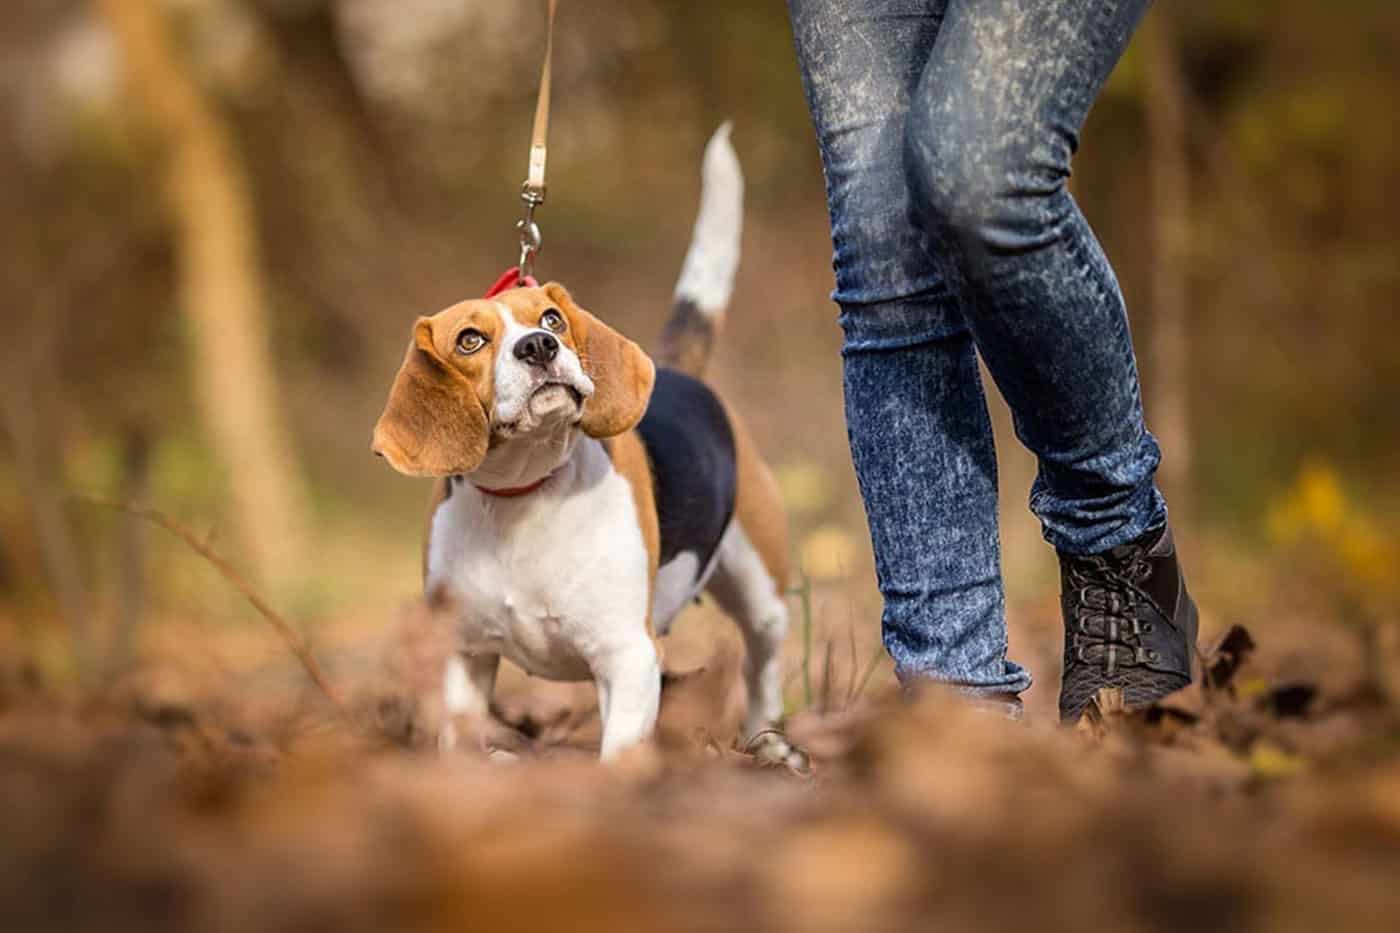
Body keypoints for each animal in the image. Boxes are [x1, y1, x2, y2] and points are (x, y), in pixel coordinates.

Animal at [366, 127, 795, 762]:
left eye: (551, 318)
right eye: (470, 340)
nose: (540, 346)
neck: (524, 496)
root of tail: (677, 370)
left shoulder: (629, 655)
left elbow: (618, 756)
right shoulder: (466, 654)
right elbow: (462, 737)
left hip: (761, 594)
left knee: (760, 668)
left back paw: (768, 747)